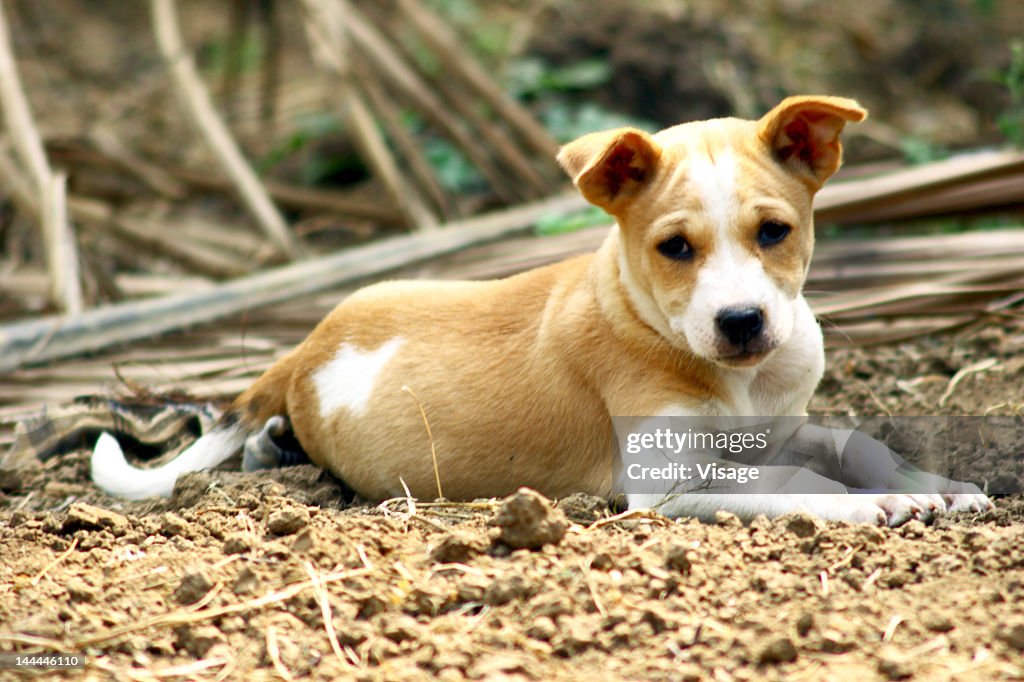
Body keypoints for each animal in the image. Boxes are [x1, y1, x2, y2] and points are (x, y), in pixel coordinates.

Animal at [94, 94, 991, 520]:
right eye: (675, 248)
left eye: (775, 232)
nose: (742, 324)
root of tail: (309, 343)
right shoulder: (665, 482)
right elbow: (794, 479)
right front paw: (883, 502)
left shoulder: (782, 421)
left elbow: (850, 441)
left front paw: (931, 481)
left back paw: (272, 444)